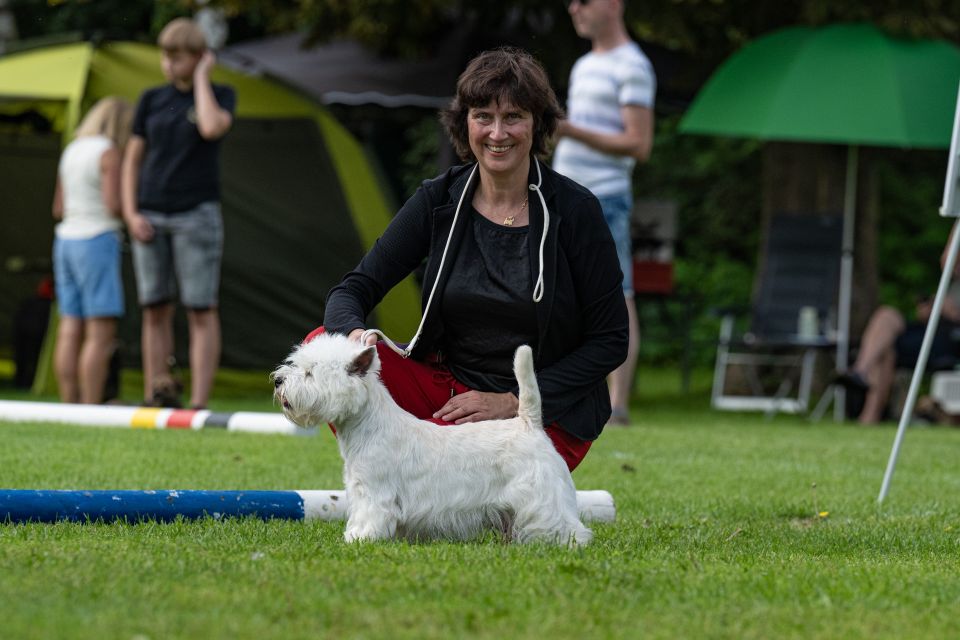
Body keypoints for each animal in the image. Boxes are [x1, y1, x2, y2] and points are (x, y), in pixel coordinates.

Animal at [274, 332, 592, 548]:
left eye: (309, 373)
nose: (278, 381)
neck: (368, 426)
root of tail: (529, 423)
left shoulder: (376, 491)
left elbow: (369, 517)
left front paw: (359, 538)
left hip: (541, 493)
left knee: (561, 521)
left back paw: (569, 543)